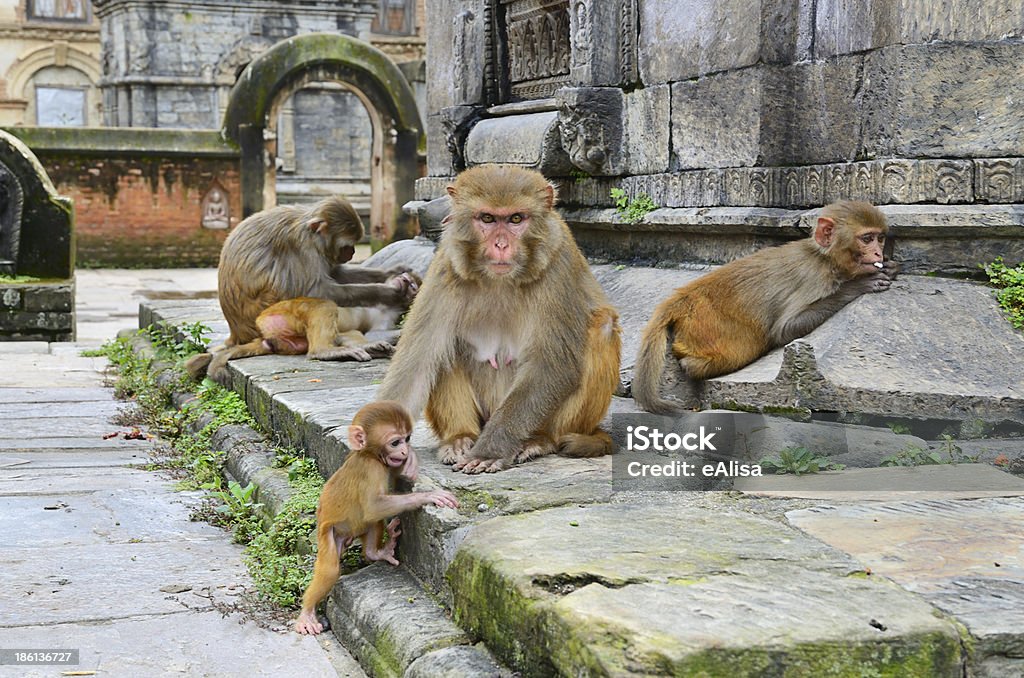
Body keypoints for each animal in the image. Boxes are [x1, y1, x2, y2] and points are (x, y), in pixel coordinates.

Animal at [294, 401, 458, 634]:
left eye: (407, 438)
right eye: (395, 442)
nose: (404, 450)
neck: (370, 455)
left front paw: (411, 461)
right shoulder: (371, 470)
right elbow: (373, 507)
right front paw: (428, 495)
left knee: (372, 525)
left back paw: (377, 552)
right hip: (328, 534)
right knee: (330, 569)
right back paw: (307, 613)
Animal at [376, 163, 614, 475]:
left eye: (516, 219)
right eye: (487, 218)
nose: (501, 245)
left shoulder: (559, 266)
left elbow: (553, 364)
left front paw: (491, 451)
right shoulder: (446, 265)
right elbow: (416, 363)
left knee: (603, 325)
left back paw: (540, 440)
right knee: (442, 348)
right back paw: (459, 437)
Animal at [630, 199, 897, 417]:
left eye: (880, 238)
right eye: (866, 239)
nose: (878, 253)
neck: (825, 258)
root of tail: (680, 298)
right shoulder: (816, 279)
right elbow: (783, 330)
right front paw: (860, 283)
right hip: (706, 325)